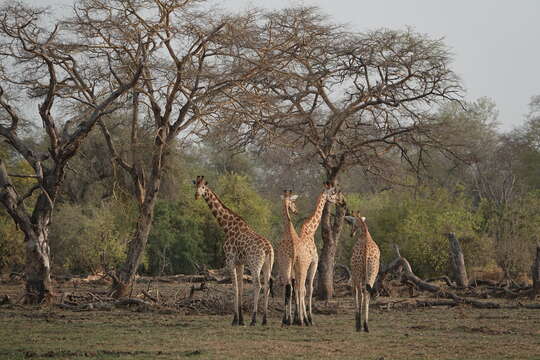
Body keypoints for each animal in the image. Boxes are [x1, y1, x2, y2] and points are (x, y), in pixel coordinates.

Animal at [194, 176, 274, 324]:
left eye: (203, 187)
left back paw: (254, 319)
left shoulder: (230, 260)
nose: (196, 195)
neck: (227, 226)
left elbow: (234, 287)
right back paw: (264, 320)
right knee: (267, 286)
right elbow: (241, 287)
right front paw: (241, 320)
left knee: (258, 285)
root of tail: (267, 249)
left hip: (255, 264)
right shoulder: (240, 263)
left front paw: (235, 319)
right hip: (268, 264)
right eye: (195, 185)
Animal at [294, 181, 340, 324]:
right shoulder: (314, 263)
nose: (339, 201)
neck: (310, 231)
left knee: (295, 288)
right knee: (300, 288)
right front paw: (309, 317)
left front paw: (304, 316)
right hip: (302, 267)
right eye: (332, 193)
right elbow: (310, 289)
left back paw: (295, 318)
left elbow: (306, 289)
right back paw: (302, 319)